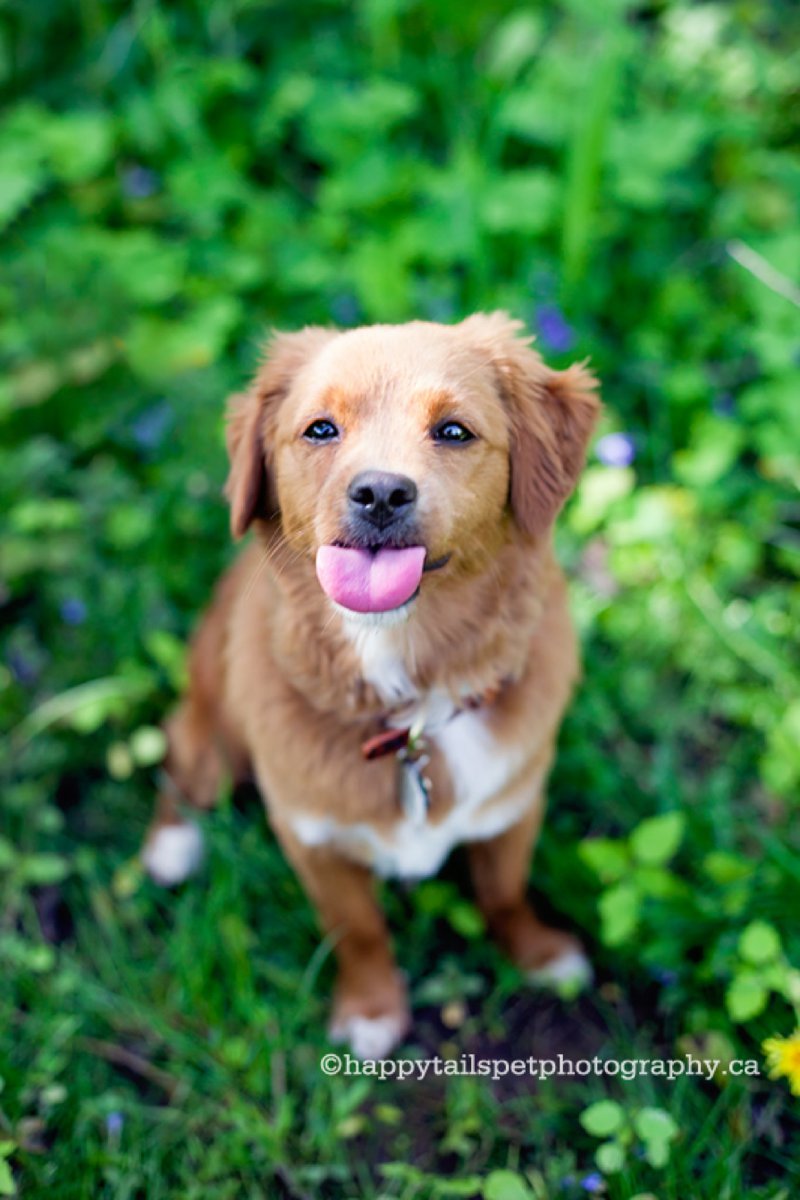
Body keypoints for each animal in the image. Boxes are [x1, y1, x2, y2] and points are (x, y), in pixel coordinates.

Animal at [140, 312, 597, 1060]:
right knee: (184, 753)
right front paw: (371, 1009)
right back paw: (171, 847)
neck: (408, 708)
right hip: (213, 723)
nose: (381, 493)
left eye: (454, 431)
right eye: (320, 429)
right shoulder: (312, 840)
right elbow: (358, 930)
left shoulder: (515, 806)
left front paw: (538, 953)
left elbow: (504, 892)